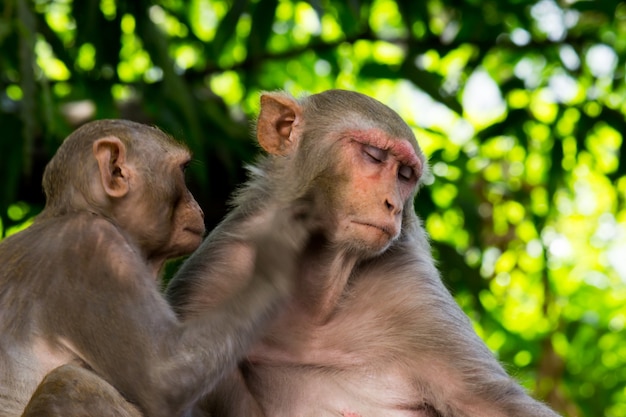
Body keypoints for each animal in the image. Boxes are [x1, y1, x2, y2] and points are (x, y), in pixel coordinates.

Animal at [0, 119, 310, 416]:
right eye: (183, 171)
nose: (198, 206)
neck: (81, 211)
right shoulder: (94, 247)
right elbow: (164, 378)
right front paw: (278, 250)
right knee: (69, 381)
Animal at [167, 91, 560, 416]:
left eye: (405, 174)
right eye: (374, 156)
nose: (393, 205)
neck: (319, 285)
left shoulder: (412, 292)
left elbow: (490, 403)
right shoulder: (214, 275)